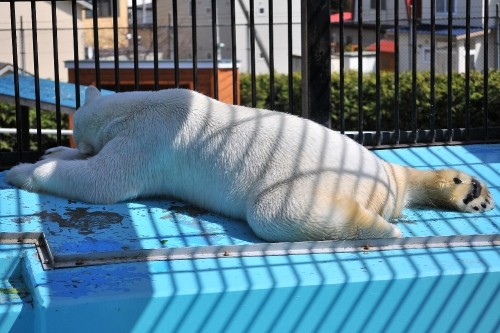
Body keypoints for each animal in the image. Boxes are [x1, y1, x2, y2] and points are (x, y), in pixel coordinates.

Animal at [5, 87, 494, 240]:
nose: (73, 141)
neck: (138, 105)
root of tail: (378, 189)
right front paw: (52, 152)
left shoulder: (147, 140)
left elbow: (103, 181)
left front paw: (23, 171)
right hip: (370, 165)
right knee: (399, 172)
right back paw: (467, 189)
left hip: (307, 181)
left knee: (276, 213)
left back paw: (378, 227)